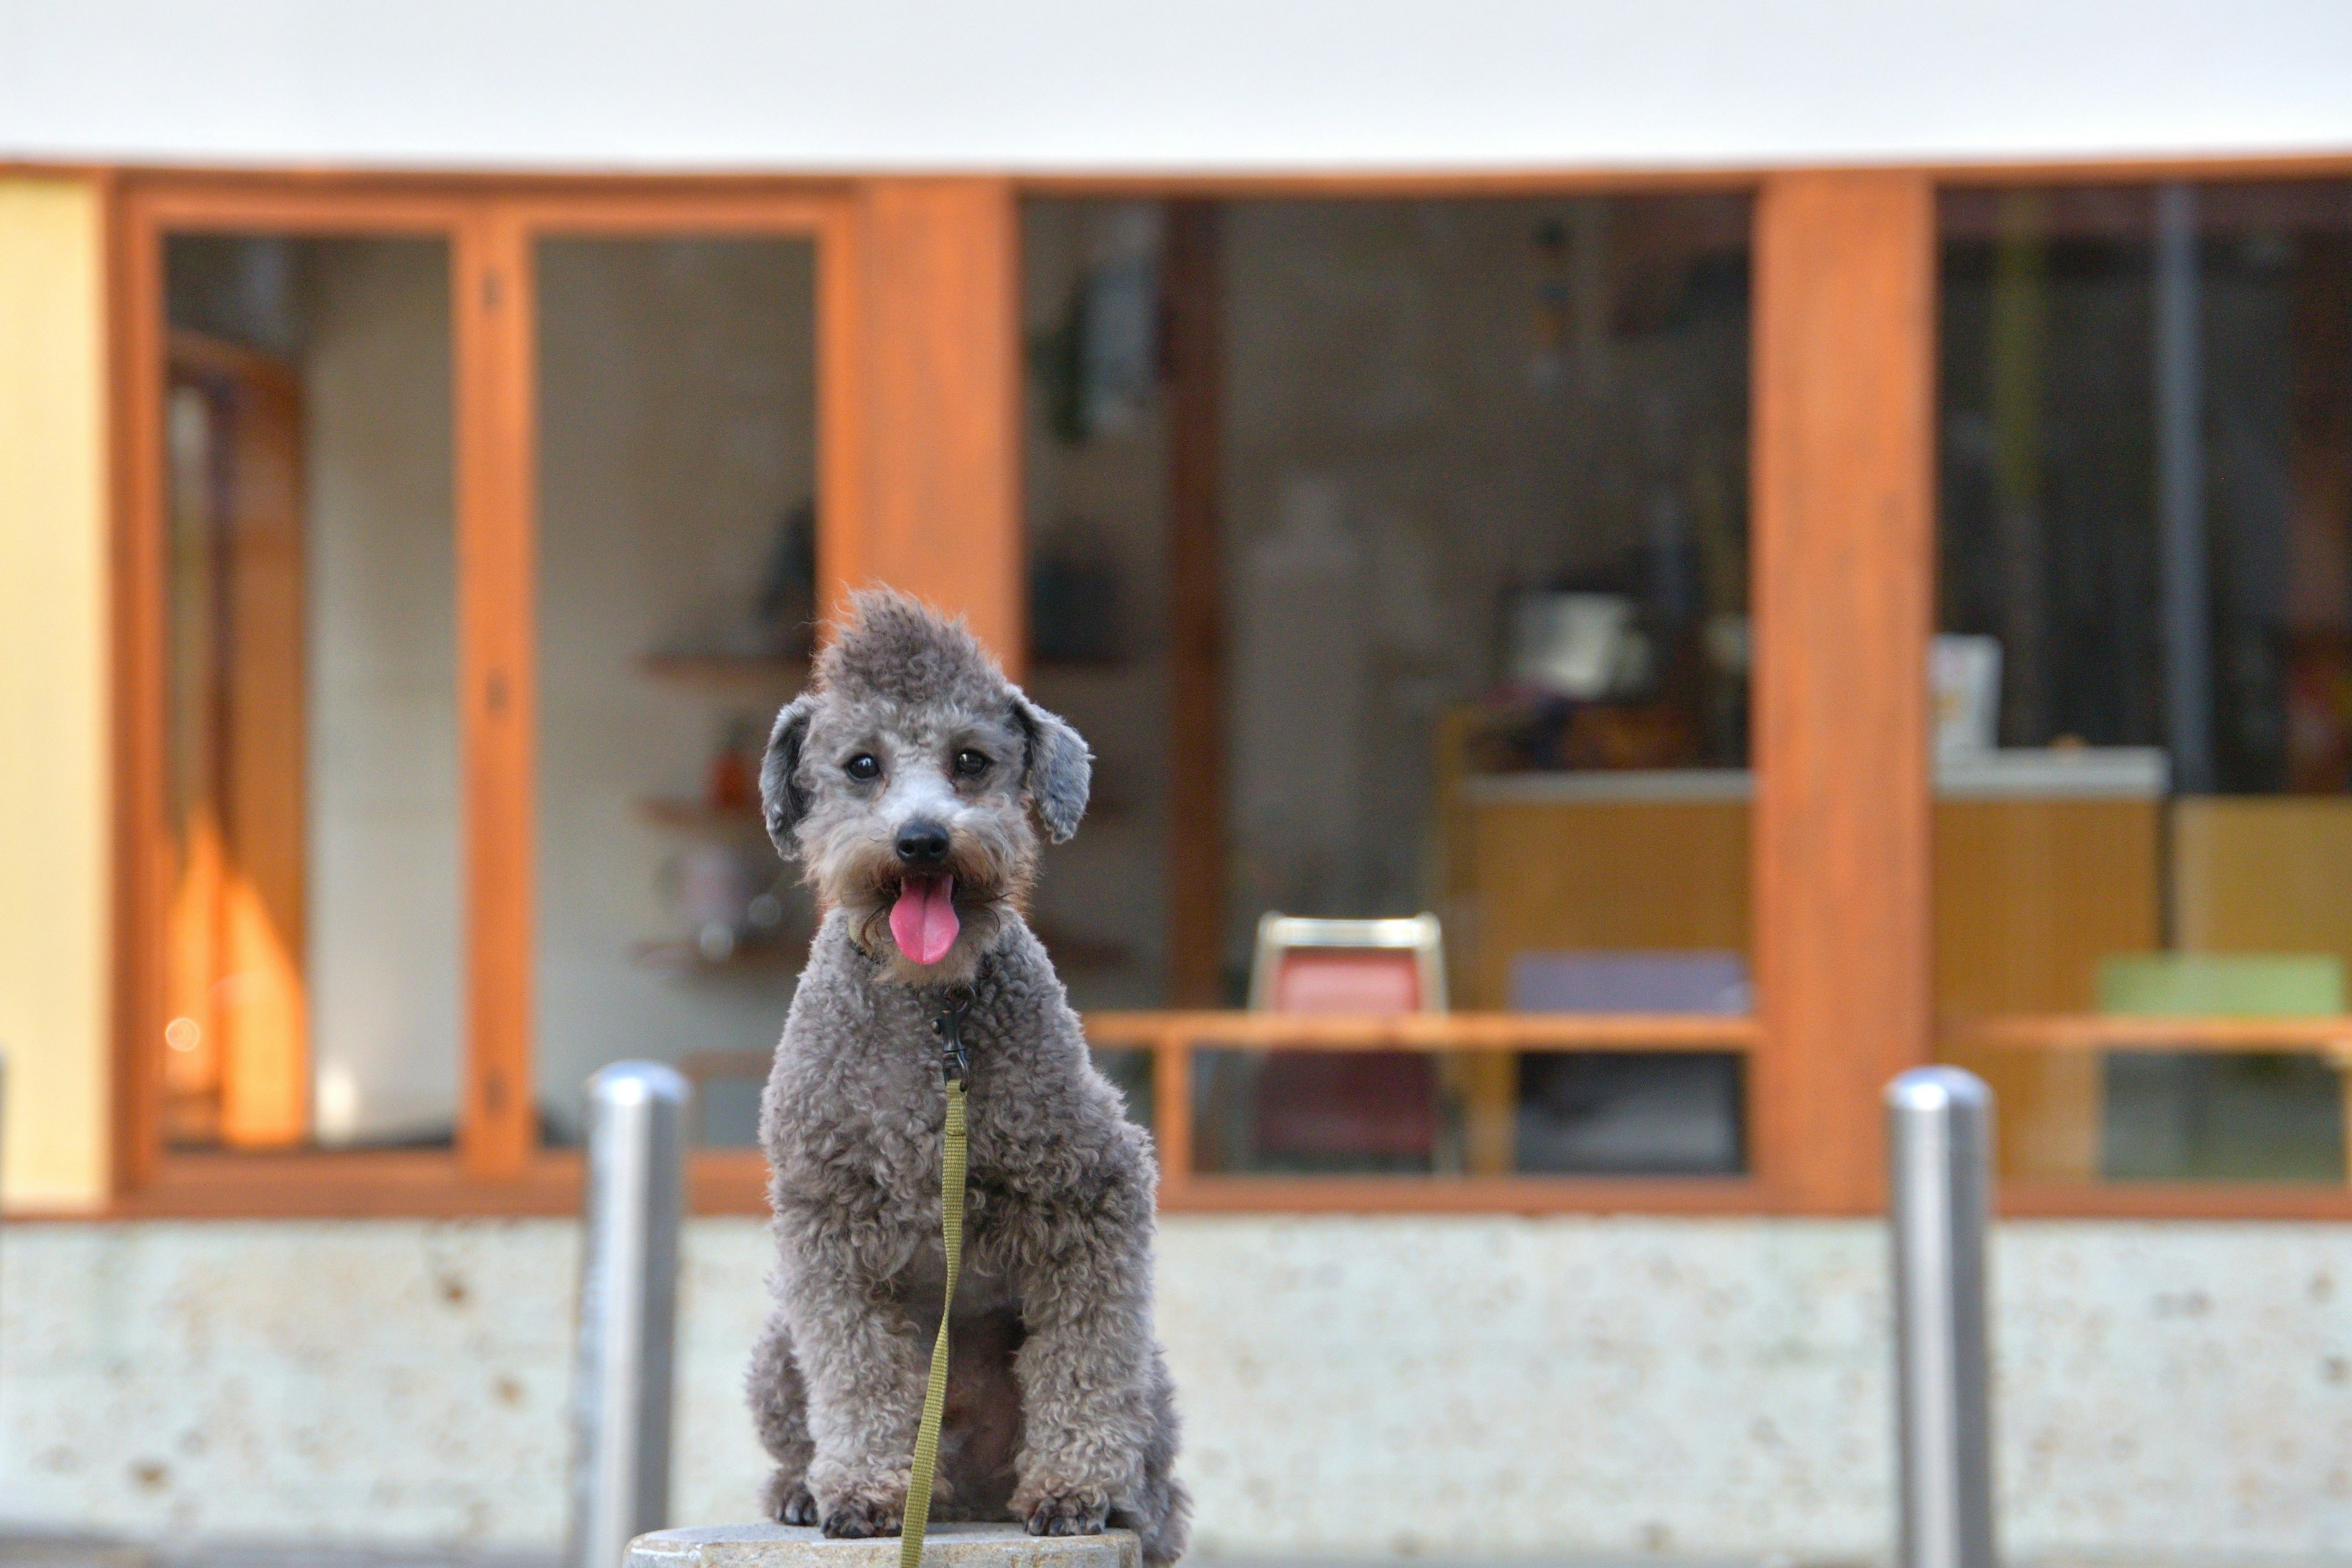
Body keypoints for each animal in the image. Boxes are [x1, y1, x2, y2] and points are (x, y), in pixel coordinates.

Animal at [748, 592, 1194, 1568]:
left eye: (971, 762)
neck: (936, 1020)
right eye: (863, 765)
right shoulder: (828, 1227)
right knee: (796, 1436)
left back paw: (1131, 1507)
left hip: (1153, 1378)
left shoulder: (1092, 1196)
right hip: (775, 1349)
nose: (922, 839)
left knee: (1155, 1467)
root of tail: (972, 1493)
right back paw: (802, 1490)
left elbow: (1081, 1359)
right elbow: (858, 1370)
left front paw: (1072, 1488)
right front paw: (864, 1492)